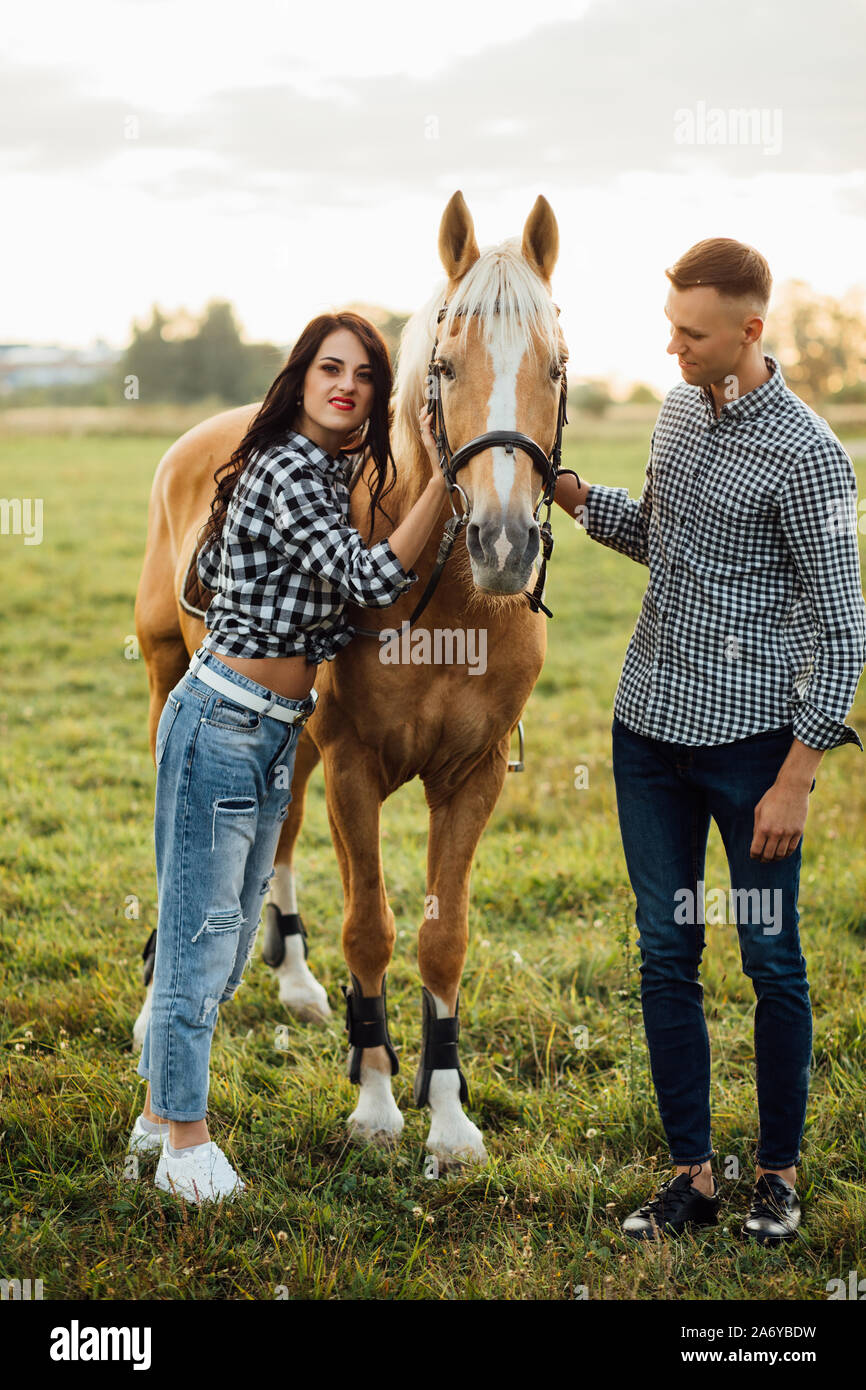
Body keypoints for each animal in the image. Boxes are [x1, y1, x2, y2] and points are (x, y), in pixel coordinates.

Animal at [134, 190, 569, 1167]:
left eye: (557, 369)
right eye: (443, 367)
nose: (503, 542)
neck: (447, 604)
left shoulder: (472, 775)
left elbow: (443, 939)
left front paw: (447, 1115)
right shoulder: (354, 766)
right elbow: (369, 927)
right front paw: (375, 1102)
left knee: (279, 836)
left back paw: (295, 984)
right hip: (174, 682)